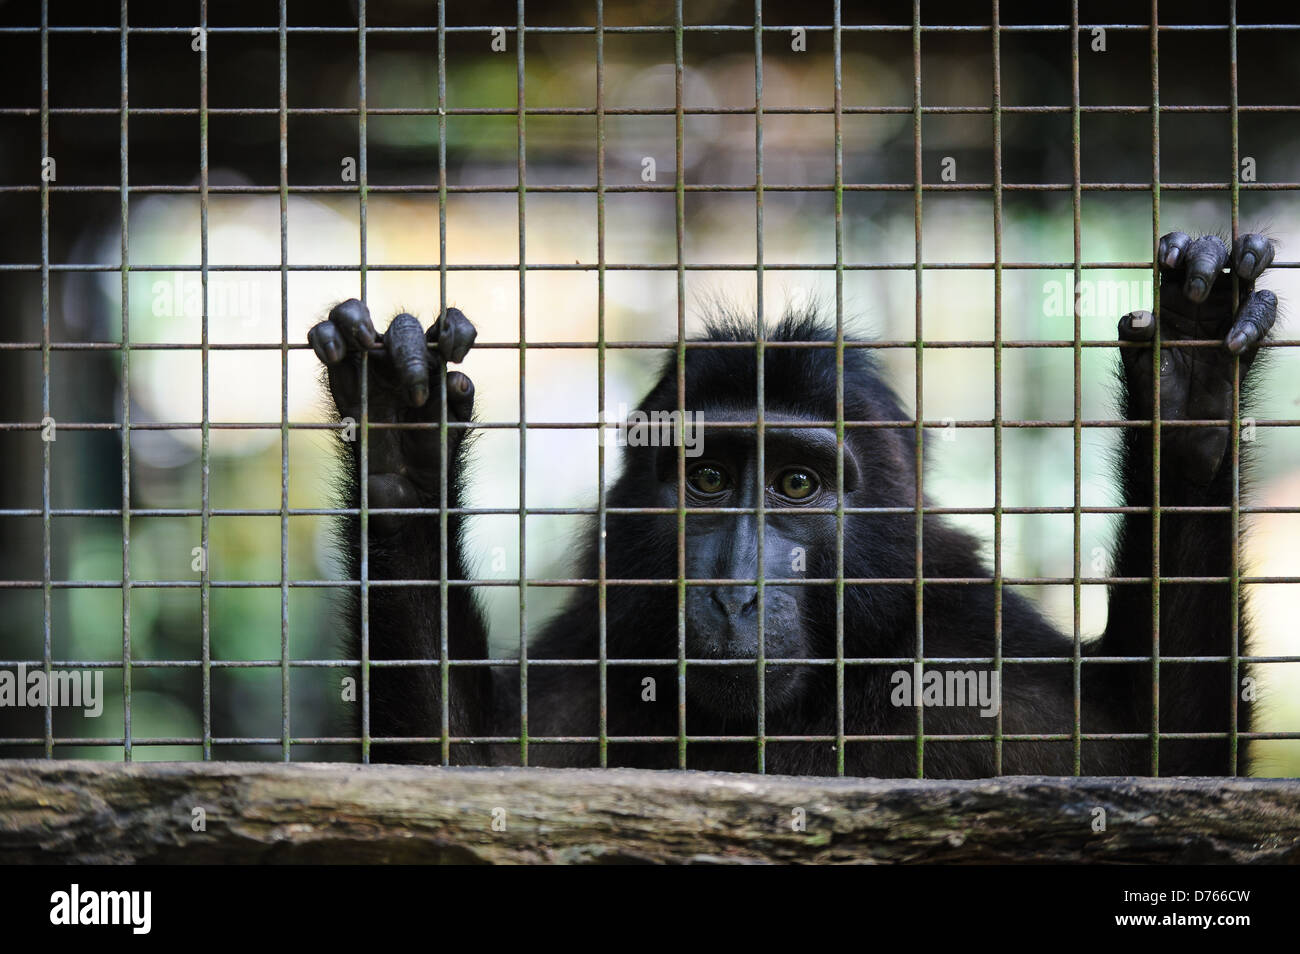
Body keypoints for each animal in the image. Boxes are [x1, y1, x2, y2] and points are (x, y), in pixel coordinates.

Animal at [309, 230, 1277, 777]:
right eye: (706, 479)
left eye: (797, 484)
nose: (736, 593)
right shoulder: (588, 673)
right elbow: (453, 771)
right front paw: (399, 443)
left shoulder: (975, 661)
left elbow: (1161, 764)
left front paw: (1189, 387)